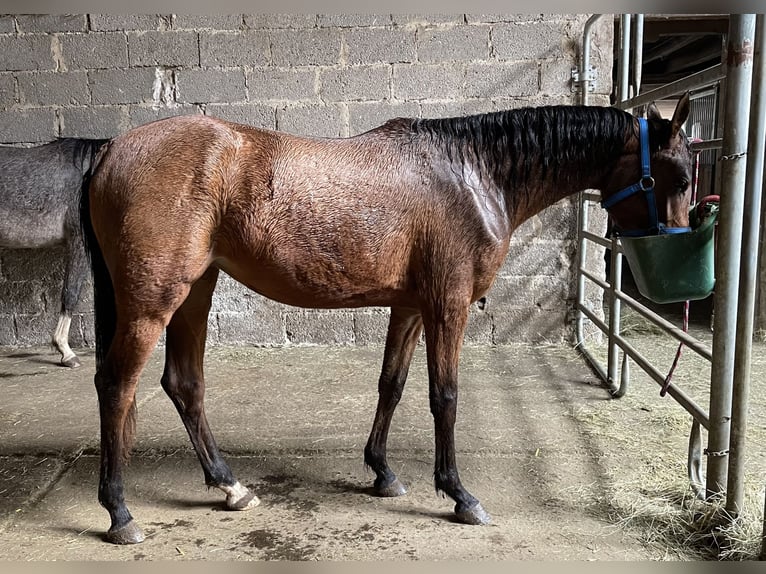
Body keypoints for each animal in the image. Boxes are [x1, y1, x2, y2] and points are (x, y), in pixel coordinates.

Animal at [79, 94, 692, 544]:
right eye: (681, 179)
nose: (677, 258)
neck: (472, 173)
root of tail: (112, 150)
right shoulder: (448, 305)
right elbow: (444, 396)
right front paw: (459, 495)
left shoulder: (411, 306)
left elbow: (392, 385)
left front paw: (382, 472)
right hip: (153, 302)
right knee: (117, 385)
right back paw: (120, 513)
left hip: (195, 293)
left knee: (184, 384)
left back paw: (229, 487)